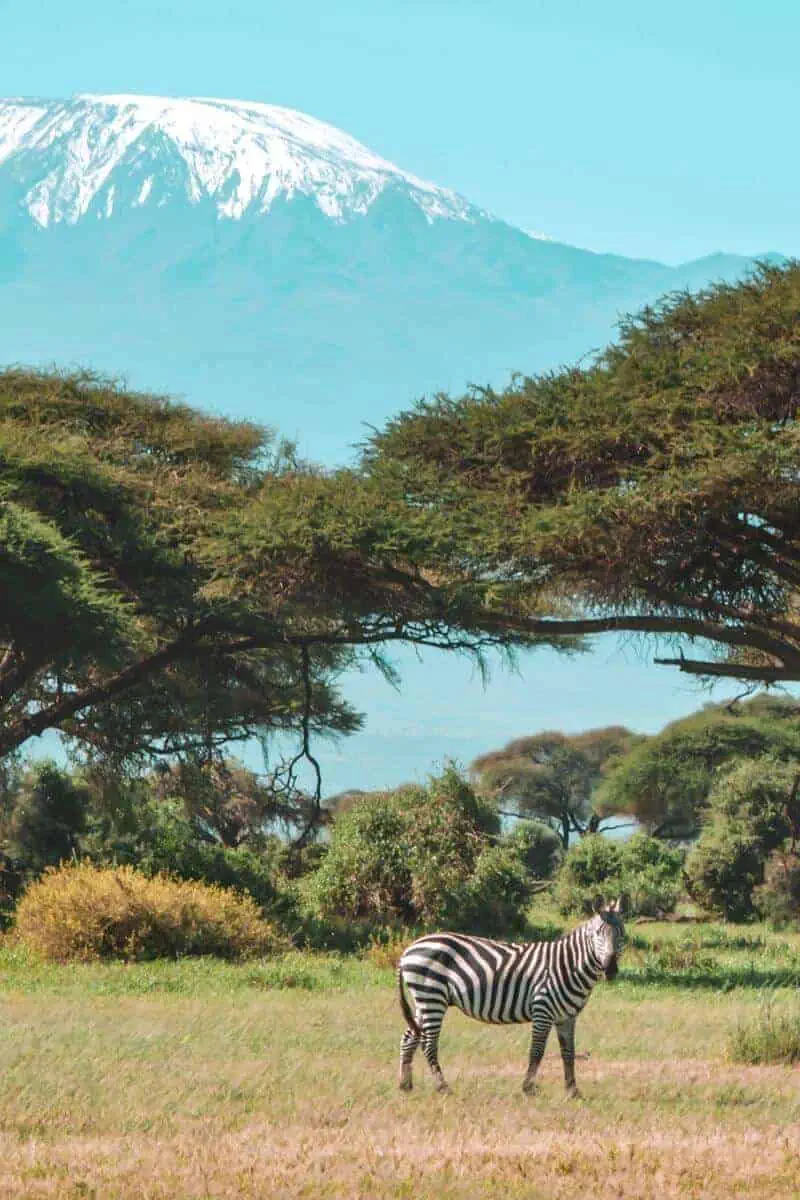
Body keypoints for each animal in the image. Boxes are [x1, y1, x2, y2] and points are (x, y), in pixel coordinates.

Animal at [397, 898, 625, 1097]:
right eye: (597, 934)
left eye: (621, 934)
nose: (611, 969)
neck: (567, 965)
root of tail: (408, 950)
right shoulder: (543, 1009)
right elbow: (537, 1051)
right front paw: (528, 1088)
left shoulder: (567, 1017)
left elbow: (568, 1053)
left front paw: (572, 1091)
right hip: (432, 996)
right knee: (428, 1044)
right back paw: (442, 1088)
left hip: (424, 1000)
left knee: (409, 1037)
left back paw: (405, 1085)